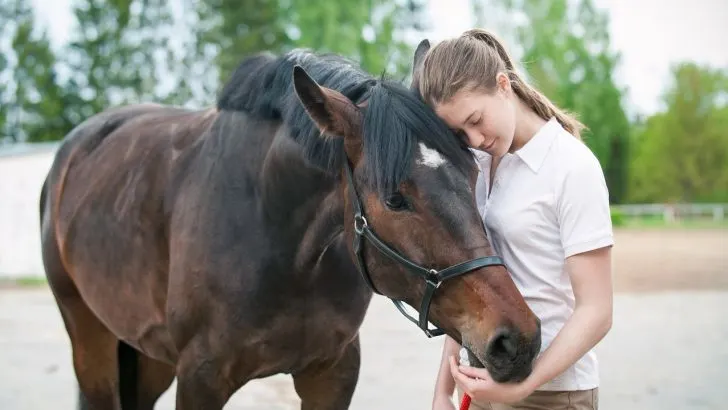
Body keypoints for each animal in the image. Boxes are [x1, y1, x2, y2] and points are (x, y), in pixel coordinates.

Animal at [39, 41, 541, 409]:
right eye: (395, 199)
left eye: (473, 174)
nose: (516, 339)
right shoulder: (200, 376)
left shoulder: (332, 372)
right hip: (89, 337)